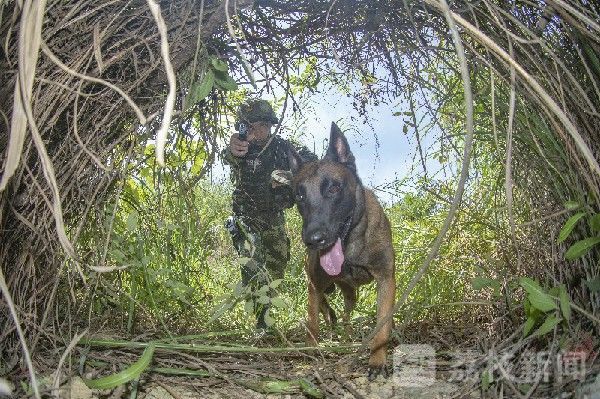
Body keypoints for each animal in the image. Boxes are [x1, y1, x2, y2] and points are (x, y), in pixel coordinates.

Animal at [288, 123, 396, 380]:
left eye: (334, 188)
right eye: (299, 195)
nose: (313, 240)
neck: (350, 244)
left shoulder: (386, 279)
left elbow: (382, 325)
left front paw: (377, 360)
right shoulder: (314, 282)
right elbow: (312, 320)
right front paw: (311, 350)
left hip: (351, 295)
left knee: (347, 315)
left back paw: (346, 336)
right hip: (324, 285)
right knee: (327, 306)